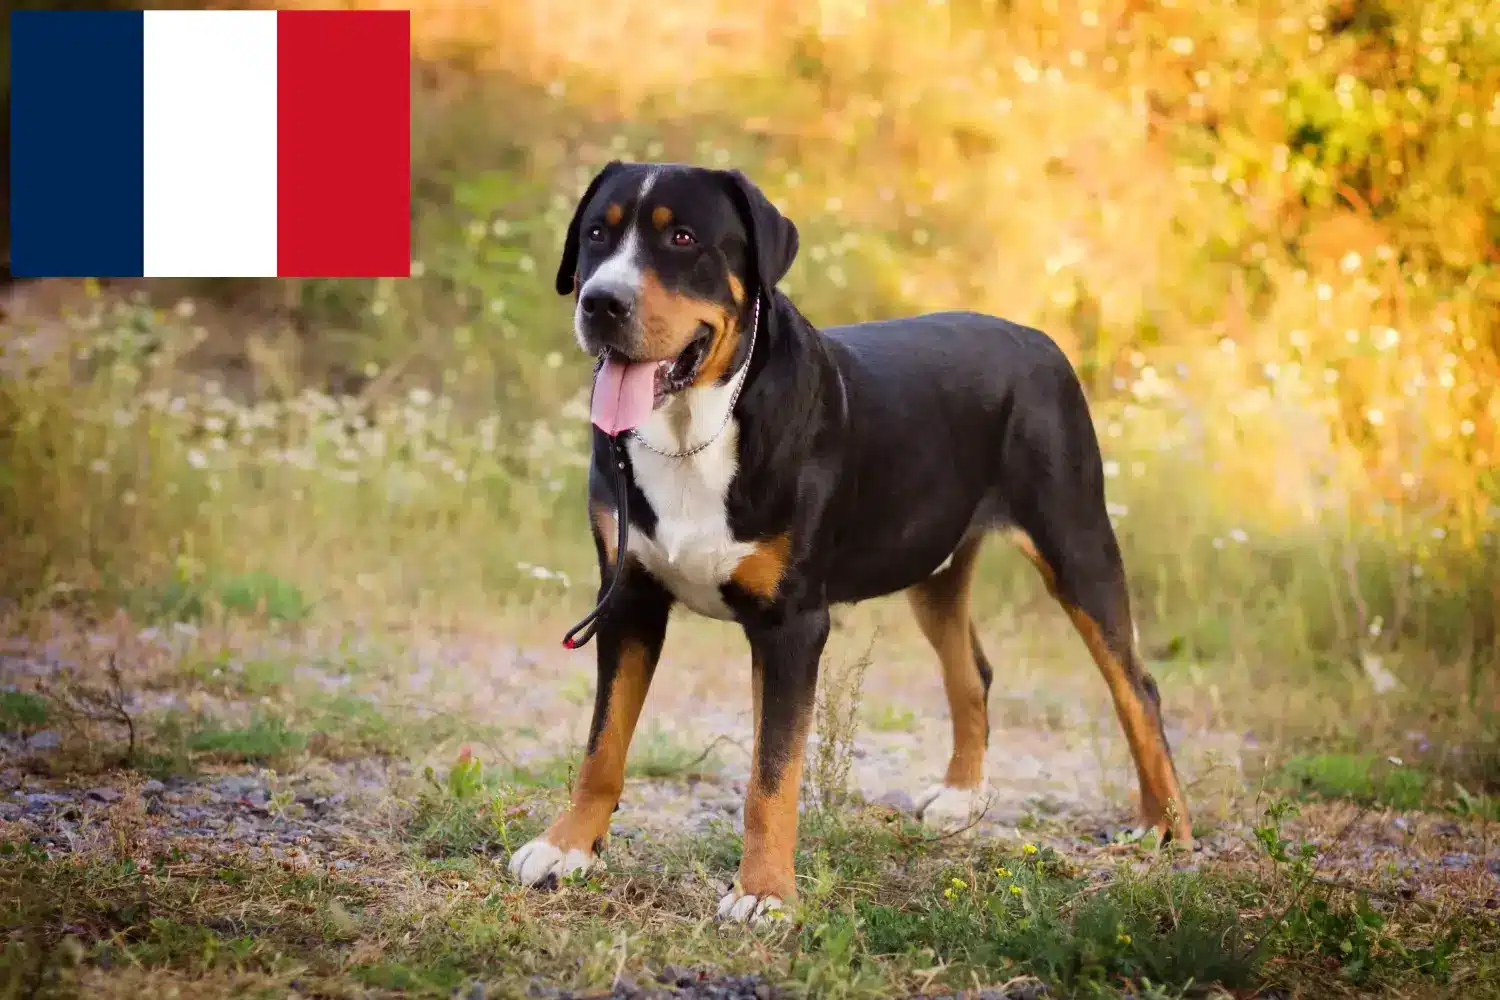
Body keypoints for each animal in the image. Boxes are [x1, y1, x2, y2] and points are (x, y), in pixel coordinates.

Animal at [510, 162, 1188, 923]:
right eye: (597, 234)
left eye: (682, 238)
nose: (602, 302)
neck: (691, 432)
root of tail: (1036, 339)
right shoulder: (628, 597)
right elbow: (603, 747)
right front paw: (567, 847)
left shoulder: (792, 624)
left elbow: (772, 775)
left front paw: (763, 892)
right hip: (933, 567)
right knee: (972, 674)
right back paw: (962, 797)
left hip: (1076, 545)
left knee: (1137, 688)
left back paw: (1166, 827)